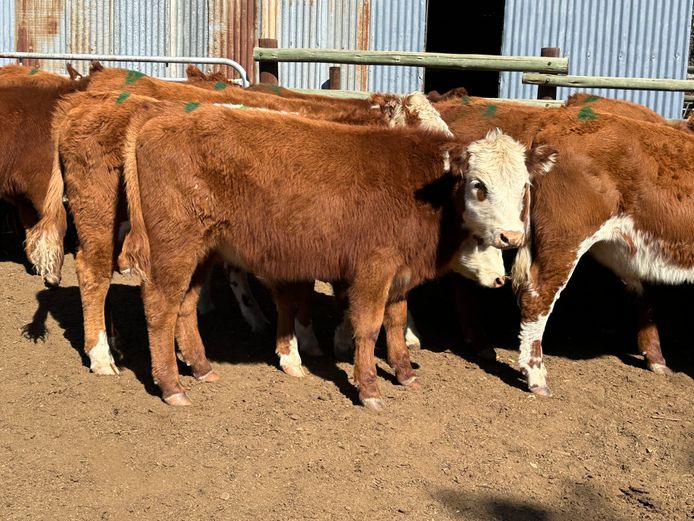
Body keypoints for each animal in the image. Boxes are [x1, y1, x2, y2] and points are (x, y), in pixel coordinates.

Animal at [117, 104, 556, 406]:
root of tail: (159, 119)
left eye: (524, 186)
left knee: (185, 306)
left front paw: (404, 372)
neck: (425, 188)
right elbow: (369, 327)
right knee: (160, 307)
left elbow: (396, 322)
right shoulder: (373, 269)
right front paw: (369, 387)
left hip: (203, 251)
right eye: (479, 185)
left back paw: (201, 368)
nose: (511, 235)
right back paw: (171, 385)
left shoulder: (399, 274)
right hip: (174, 248)